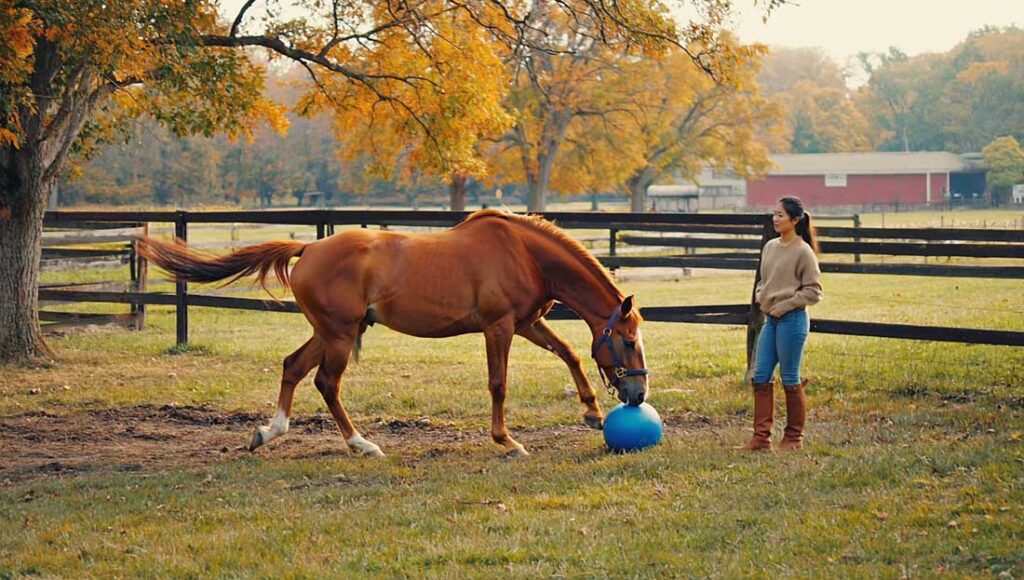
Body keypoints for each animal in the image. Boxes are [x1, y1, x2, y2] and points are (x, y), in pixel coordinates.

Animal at [138, 210, 647, 459]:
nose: (638, 395)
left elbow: (570, 353)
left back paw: (269, 432)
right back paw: (361, 444)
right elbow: (499, 384)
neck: (522, 251)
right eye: (626, 341)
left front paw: (590, 412)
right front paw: (508, 442)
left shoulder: (526, 323)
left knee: (293, 367)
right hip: (340, 335)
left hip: (332, 331)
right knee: (326, 383)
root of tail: (309, 248)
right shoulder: (499, 326)